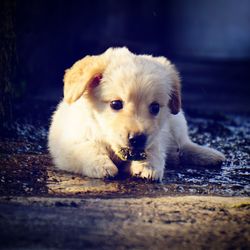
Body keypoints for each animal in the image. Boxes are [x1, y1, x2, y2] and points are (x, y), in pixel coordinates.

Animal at [47, 47, 225, 181]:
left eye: (155, 107)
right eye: (115, 104)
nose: (137, 138)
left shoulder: (155, 137)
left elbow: (153, 150)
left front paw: (148, 166)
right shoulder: (67, 144)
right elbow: (87, 148)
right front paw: (102, 165)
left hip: (177, 122)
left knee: (184, 145)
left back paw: (208, 155)